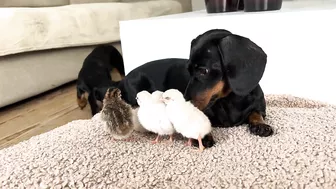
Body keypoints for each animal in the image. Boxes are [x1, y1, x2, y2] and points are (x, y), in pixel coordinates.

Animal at [117, 29, 272, 148]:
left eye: (203, 71)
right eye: (188, 70)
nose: (185, 102)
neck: (229, 99)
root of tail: (123, 80)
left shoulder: (258, 106)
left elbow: (255, 113)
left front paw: (260, 125)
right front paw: (203, 135)